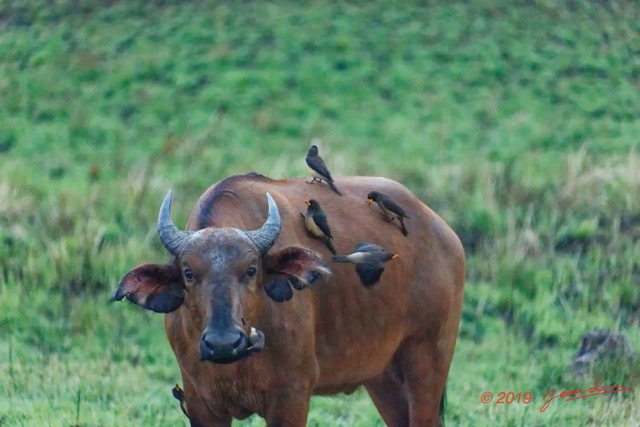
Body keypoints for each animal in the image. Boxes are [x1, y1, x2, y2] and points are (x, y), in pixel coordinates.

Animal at [114, 173, 464, 427]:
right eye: (188, 272)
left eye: (251, 269)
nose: (224, 343)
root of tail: (444, 234)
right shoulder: (200, 404)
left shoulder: (291, 397)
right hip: (383, 376)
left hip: (428, 359)